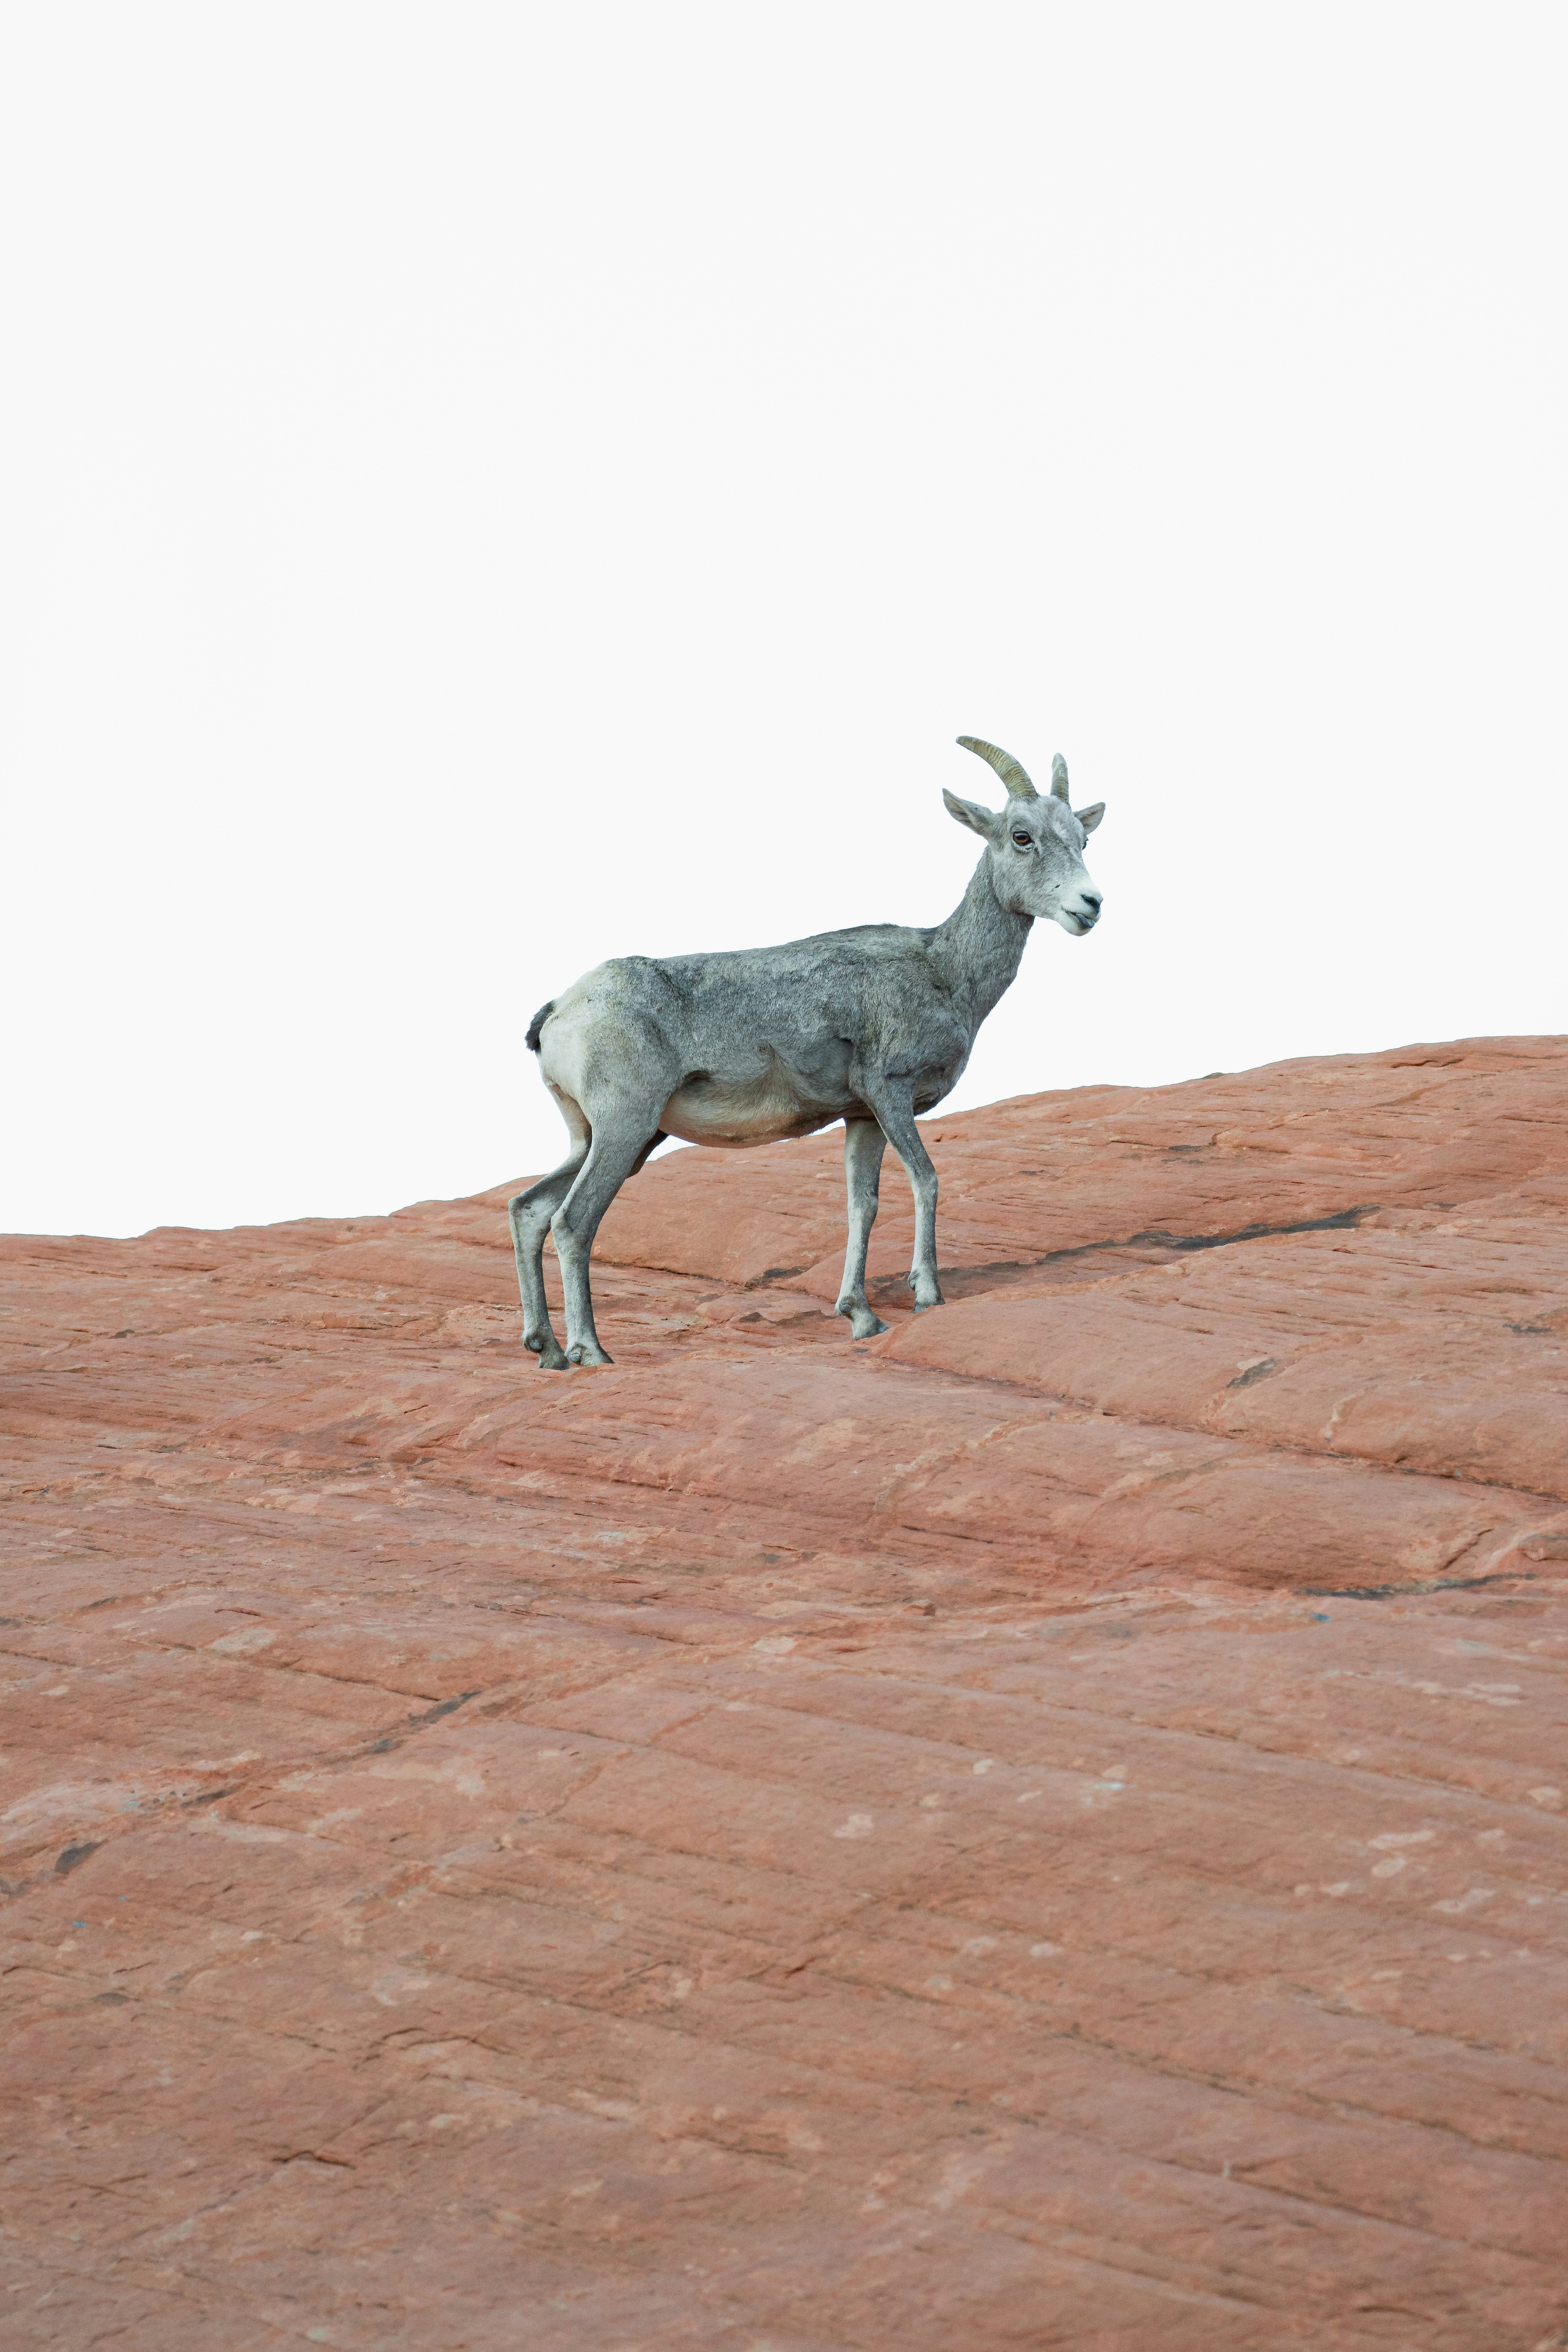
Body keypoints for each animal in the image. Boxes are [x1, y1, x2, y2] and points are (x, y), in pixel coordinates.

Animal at [512, 736, 1105, 1367]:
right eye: (1022, 836)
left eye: (1083, 838)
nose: (1090, 904)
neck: (945, 973)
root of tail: (561, 1011)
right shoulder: (889, 1093)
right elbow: (927, 1180)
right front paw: (927, 1296)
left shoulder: (862, 1116)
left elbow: (862, 1205)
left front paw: (861, 1317)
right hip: (624, 1127)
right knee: (573, 1221)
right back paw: (591, 1352)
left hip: (608, 1137)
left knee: (530, 1210)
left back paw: (546, 1350)